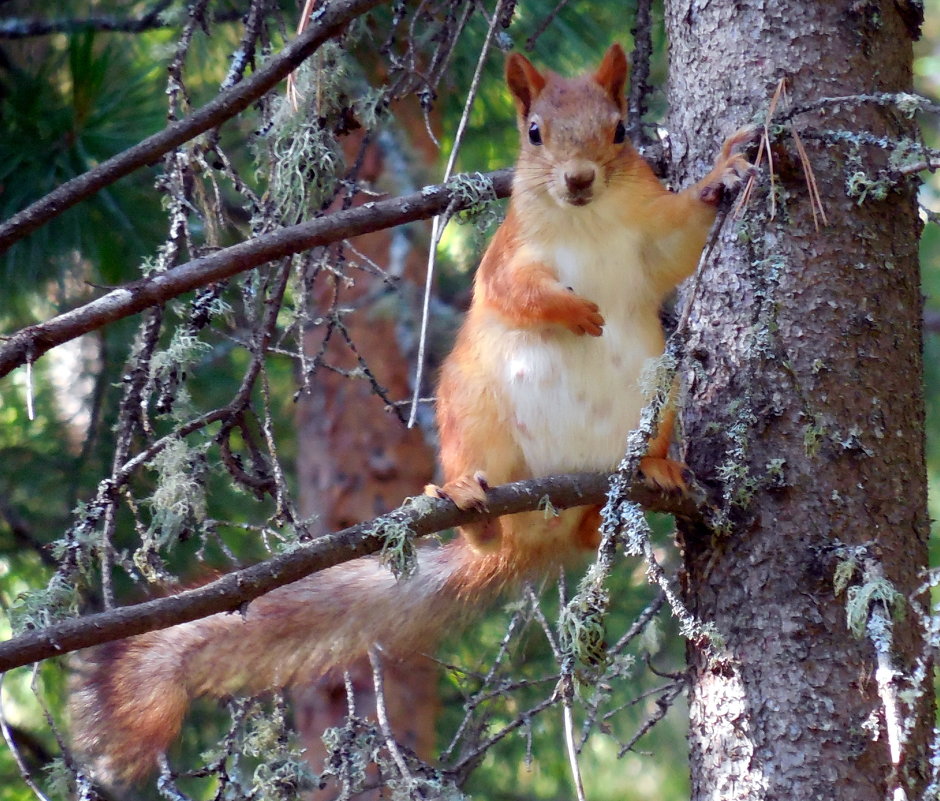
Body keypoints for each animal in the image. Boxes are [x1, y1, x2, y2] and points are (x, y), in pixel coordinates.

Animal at [70, 43, 752, 780]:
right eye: (533, 132)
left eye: (621, 129)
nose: (578, 179)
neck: (586, 221)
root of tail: (548, 511)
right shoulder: (509, 253)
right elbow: (512, 291)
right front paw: (572, 310)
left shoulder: (647, 236)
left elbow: (679, 241)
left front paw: (725, 171)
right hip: (472, 409)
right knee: (488, 513)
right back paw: (470, 500)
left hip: (660, 394)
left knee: (608, 500)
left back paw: (654, 469)